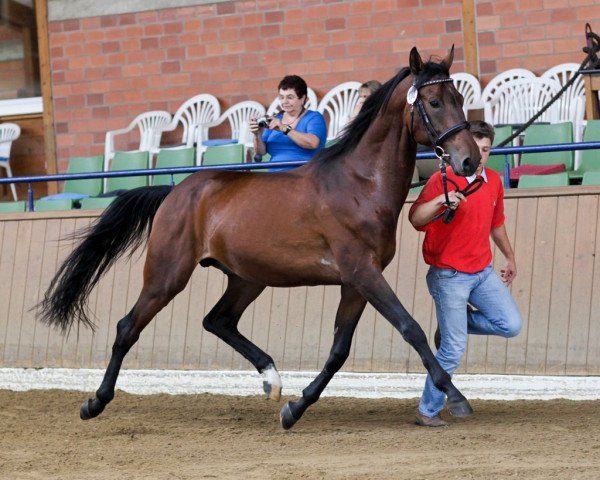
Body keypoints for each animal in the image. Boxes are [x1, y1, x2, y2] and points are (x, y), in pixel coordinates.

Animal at [37, 45, 480, 430]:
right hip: (167, 275)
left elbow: (339, 350)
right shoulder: (363, 273)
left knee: (217, 320)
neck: (360, 184)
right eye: (434, 102)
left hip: (247, 278)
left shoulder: (356, 283)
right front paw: (456, 396)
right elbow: (410, 328)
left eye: (460, 97)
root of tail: (176, 191)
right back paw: (95, 402)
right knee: (128, 326)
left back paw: (272, 379)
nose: (469, 160)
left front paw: (294, 409)